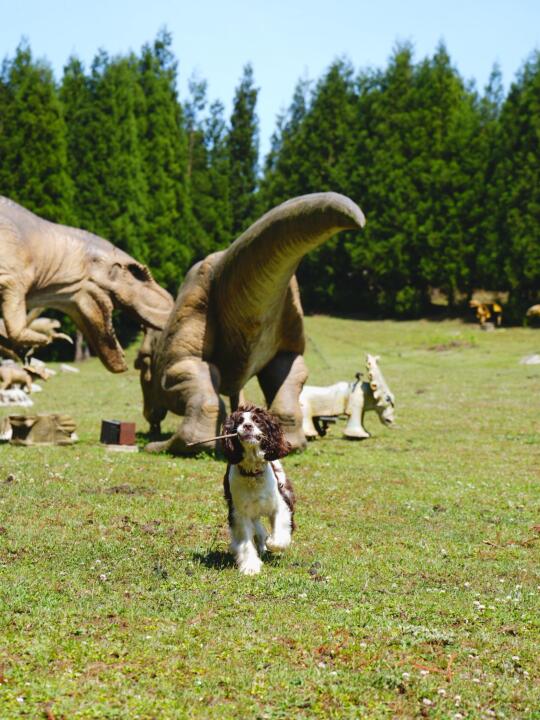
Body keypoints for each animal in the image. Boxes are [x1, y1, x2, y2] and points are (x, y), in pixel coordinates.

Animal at [221, 404, 295, 575]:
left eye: (257, 421)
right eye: (239, 421)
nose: (247, 426)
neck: (253, 474)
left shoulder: (280, 504)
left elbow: (280, 531)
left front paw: (273, 543)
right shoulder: (239, 513)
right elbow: (245, 541)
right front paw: (250, 566)